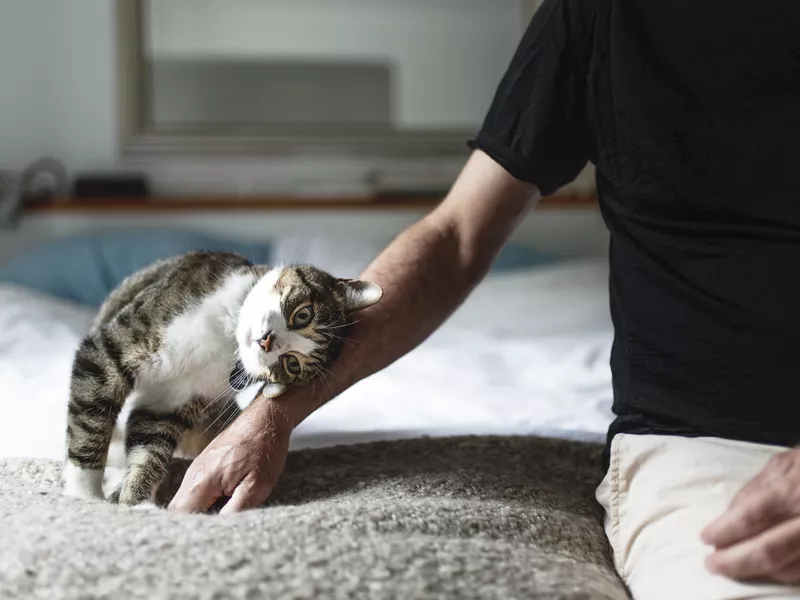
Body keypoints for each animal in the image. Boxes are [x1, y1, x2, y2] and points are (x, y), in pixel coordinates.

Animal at [62, 251, 382, 508]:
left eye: (291, 364)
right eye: (303, 315)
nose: (267, 341)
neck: (228, 338)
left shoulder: (171, 400)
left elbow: (148, 449)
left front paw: (136, 503)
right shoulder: (113, 349)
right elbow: (91, 419)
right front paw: (85, 496)